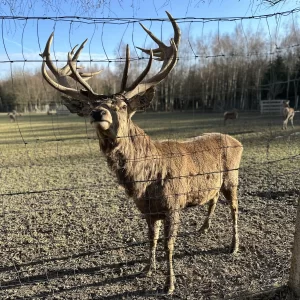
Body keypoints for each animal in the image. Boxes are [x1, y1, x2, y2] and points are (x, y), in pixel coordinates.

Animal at [40, 12, 244, 296]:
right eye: (93, 105)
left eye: (123, 105)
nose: (98, 113)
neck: (146, 180)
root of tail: (238, 142)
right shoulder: (147, 210)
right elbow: (151, 238)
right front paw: (147, 269)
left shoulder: (174, 204)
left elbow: (169, 244)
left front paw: (169, 284)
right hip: (212, 183)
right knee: (212, 199)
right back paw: (204, 229)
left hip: (232, 177)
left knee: (235, 208)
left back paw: (234, 246)